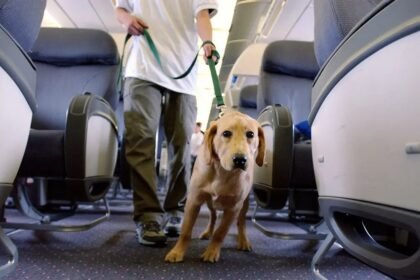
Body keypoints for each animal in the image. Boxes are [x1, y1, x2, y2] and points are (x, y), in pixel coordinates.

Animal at [165, 110, 266, 262]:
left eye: (250, 134)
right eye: (226, 133)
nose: (240, 160)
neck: (222, 171)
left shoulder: (233, 208)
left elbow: (220, 233)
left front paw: (212, 252)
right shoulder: (193, 201)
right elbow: (186, 231)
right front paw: (177, 252)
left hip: (244, 204)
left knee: (241, 222)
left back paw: (243, 240)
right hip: (210, 203)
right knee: (213, 217)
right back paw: (208, 232)